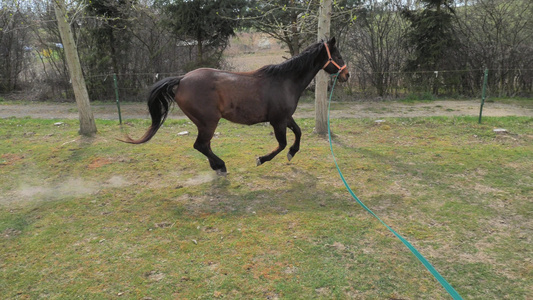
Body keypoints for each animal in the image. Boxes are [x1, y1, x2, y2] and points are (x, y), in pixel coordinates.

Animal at [123, 37, 352, 175]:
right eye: (339, 56)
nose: (347, 75)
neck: (285, 80)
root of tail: (182, 80)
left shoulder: (285, 117)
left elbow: (298, 133)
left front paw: (292, 153)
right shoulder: (277, 121)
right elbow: (281, 144)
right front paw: (261, 159)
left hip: (204, 123)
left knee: (204, 145)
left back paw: (217, 166)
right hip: (209, 122)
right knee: (200, 145)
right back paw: (221, 166)